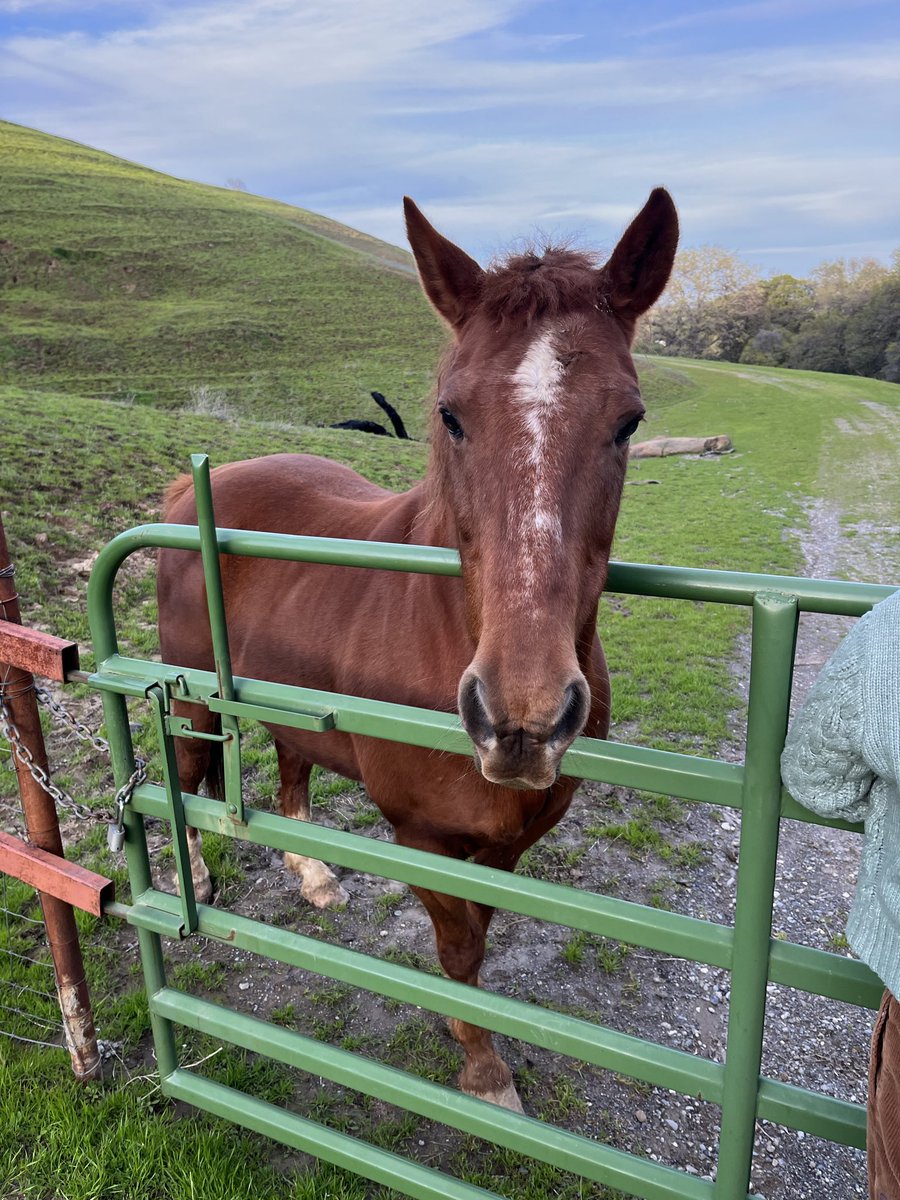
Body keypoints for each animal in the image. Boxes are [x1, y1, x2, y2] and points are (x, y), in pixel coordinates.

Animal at [157, 189, 679, 1112]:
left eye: (630, 422)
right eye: (450, 414)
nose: (522, 718)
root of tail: (193, 489)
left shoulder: (510, 844)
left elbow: (480, 937)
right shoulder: (422, 838)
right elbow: (458, 950)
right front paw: (484, 1072)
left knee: (292, 775)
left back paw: (313, 874)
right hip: (186, 700)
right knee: (185, 777)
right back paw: (204, 885)